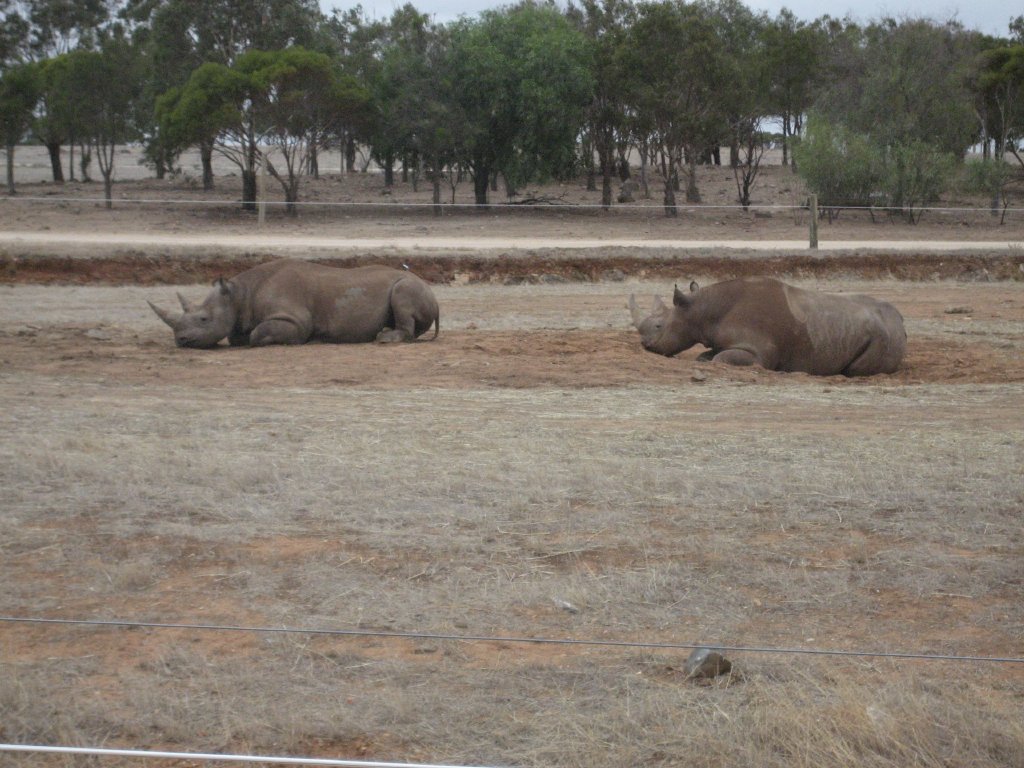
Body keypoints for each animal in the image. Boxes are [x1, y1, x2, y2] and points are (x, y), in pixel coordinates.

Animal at [149, 259, 439, 348]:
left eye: (204, 319)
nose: (181, 340)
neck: (240, 294)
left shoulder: (295, 320)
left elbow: (258, 333)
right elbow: (238, 335)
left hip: (410, 285)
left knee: (403, 292)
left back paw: (384, 338)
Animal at [629, 276, 906, 376]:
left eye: (658, 325)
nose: (645, 345)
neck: (702, 309)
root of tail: (901, 321)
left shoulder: (758, 352)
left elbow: (720, 359)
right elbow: (705, 356)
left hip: (883, 338)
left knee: (854, 370)